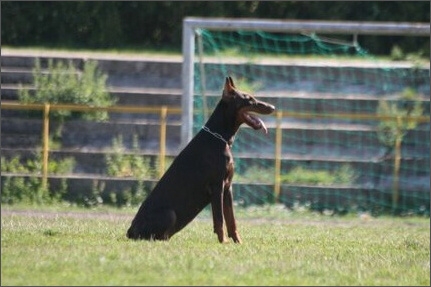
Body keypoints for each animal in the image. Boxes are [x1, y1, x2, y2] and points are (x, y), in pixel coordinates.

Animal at [127, 76, 276, 243]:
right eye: (249, 99)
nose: (273, 107)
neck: (220, 137)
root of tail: (130, 231)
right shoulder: (217, 186)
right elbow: (219, 219)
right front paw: (224, 242)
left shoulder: (227, 186)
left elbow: (231, 220)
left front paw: (238, 242)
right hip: (169, 214)